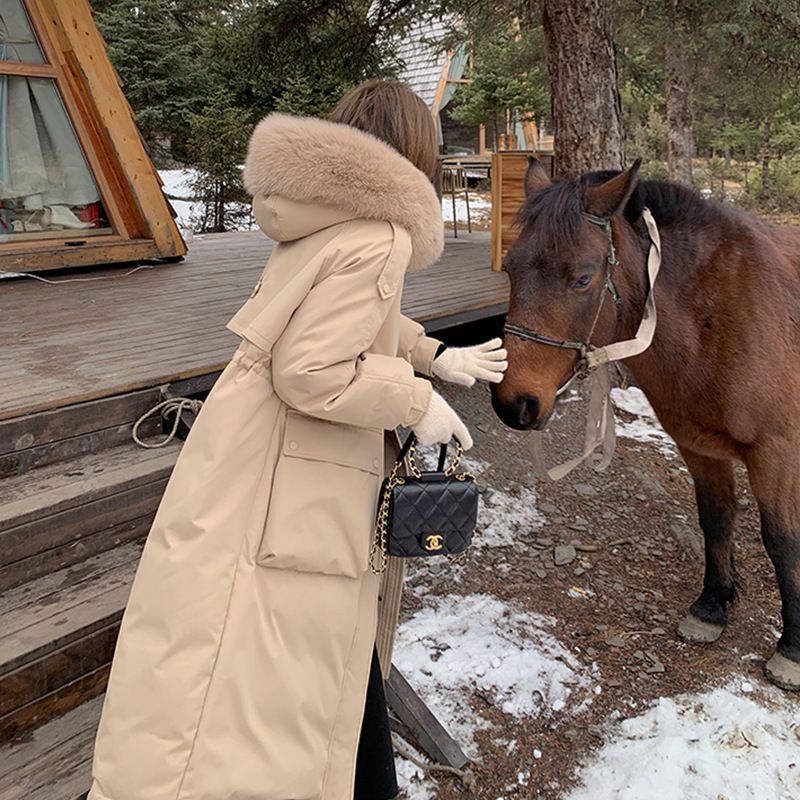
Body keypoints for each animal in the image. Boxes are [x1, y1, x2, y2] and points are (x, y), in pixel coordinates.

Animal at [490, 158, 800, 688]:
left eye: (582, 279)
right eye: (510, 269)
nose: (515, 404)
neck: (719, 315)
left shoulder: (775, 452)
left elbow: (781, 540)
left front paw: (793, 649)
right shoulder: (699, 446)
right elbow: (716, 520)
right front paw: (711, 608)